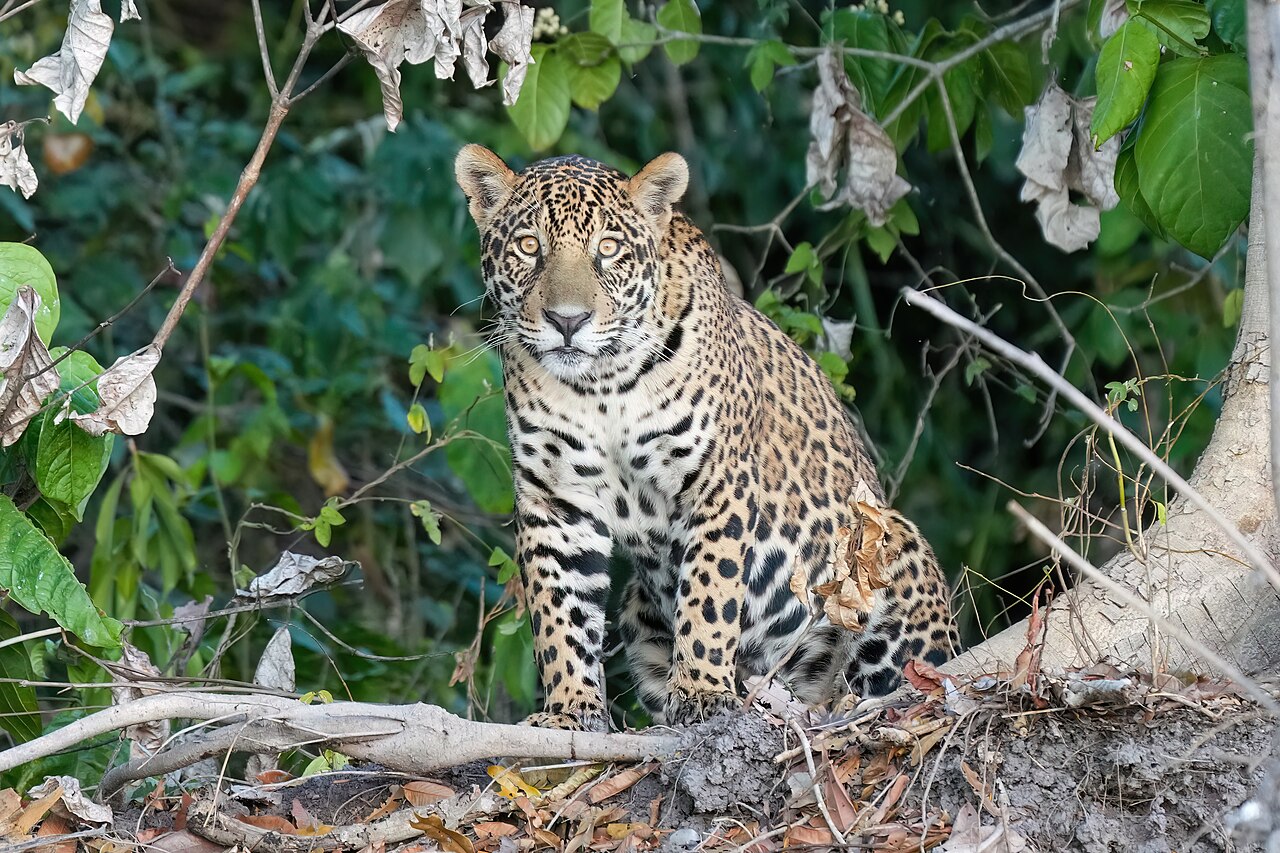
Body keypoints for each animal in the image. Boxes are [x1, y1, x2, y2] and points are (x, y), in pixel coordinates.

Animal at [454, 144, 959, 731]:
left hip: (885, 548)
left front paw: (699, 692)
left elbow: (710, 592)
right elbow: (560, 613)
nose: (567, 321)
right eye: (529, 246)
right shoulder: (556, 500)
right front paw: (568, 709)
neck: (601, 384)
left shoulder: (717, 483)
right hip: (638, 609)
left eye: (608, 249)